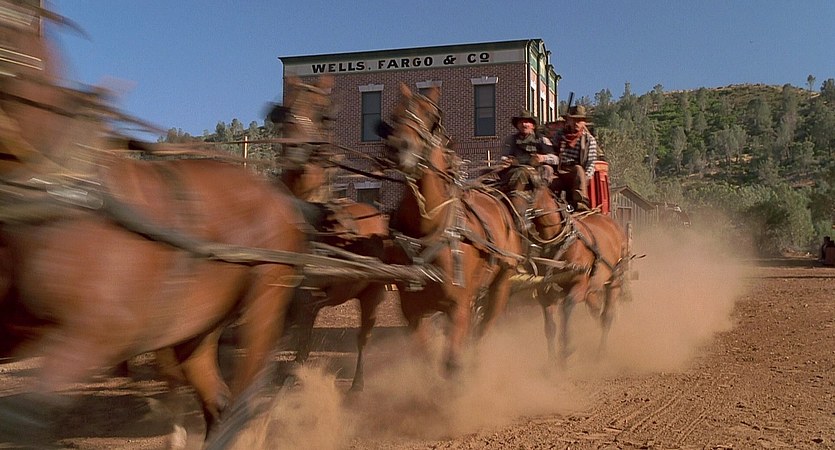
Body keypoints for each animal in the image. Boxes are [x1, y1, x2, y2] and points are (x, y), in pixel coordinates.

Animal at [0, 6, 308, 448]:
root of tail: (280, 199)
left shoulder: (96, 335)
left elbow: (22, 420)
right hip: (196, 327)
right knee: (218, 400)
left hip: (265, 301)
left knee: (243, 403)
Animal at [377, 84, 524, 374]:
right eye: (394, 115)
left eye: (432, 118)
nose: (398, 147)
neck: (429, 226)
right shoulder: (412, 310)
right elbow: (426, 360)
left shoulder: (458, 306)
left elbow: (452, 364)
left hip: (500, 284)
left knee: (484, 328)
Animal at [505, 166, 630, 366]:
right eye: (509, 185)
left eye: (530, 187)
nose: (514, 218)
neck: (558, 239)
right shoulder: (545, 291)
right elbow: (550, 327)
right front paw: (552, 363)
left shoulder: (579, 284)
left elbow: (566, 309)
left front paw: (566, 350)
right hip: (593, 288)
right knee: (597, 312)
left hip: (614, 280)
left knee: (607, 316)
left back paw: (601, 353)